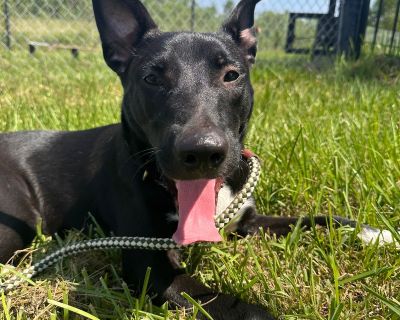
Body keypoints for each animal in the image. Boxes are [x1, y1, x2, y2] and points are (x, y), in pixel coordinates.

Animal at [0, 0, 394, 318]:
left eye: (231, 74)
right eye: (151, 77)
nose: (202, 151)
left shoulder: (247, 219)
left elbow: (313, 219)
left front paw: (371, 232)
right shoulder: (151, 266)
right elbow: (243, 309)